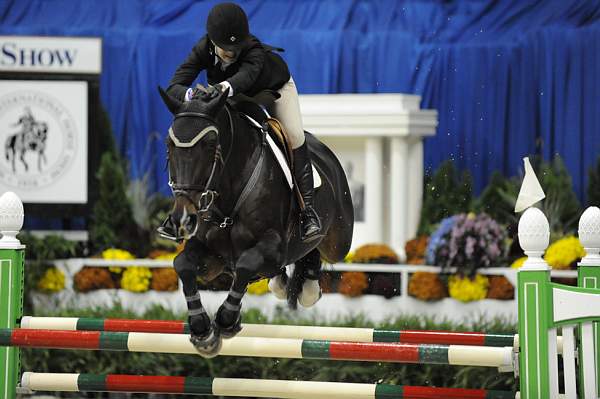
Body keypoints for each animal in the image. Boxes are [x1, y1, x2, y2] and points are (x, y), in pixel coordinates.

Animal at [159, 86, 354, 358]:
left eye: (210, 144)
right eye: (169, 145)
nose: (183, 216)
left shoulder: (272, 247)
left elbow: (246, 264)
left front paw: (226, 321)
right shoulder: (213, 259)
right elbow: (183, 264)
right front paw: (202, 331)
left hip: (339, 243)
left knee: (319, 246)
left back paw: (309, 275)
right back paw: (287, 283)